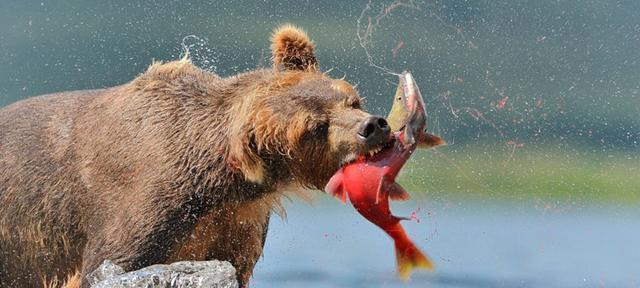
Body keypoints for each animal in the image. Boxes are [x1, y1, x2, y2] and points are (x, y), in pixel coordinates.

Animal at [0, 25, 390, 288]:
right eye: (314, 127)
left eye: (350, 99)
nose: (372, 126)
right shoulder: (139, 205)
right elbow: (111, 261)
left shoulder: (234, 222)